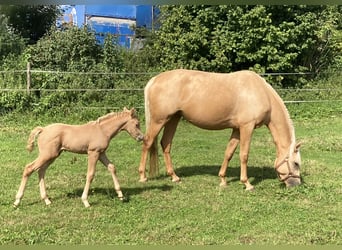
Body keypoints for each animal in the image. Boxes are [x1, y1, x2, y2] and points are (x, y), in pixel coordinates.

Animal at [13, 107, 143, 207]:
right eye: (137, 124)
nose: (141, 138)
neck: (102, 130)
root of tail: (43, 129)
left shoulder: (101, 153)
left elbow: (112, 167)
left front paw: (120, 195)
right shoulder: (93, 153)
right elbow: (90, 174)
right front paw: (85, 201)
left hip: (53, 156)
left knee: (41, 171)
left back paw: (47, 200)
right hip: (47, 155)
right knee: (29, 168)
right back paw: (17, 201)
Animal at [138, 69, 300, 190]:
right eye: (296, 164)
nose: (296, 185)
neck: (261, 92)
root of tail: (154, 80)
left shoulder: (236, 129)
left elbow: (229, 152)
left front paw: (223, 180)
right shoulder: (247, 127)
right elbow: (244, 155)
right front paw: (247, 183)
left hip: (173, 119)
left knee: (165, 144)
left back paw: (174, 177)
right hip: (159, 121)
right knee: (147, 142)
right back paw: (142, 176)